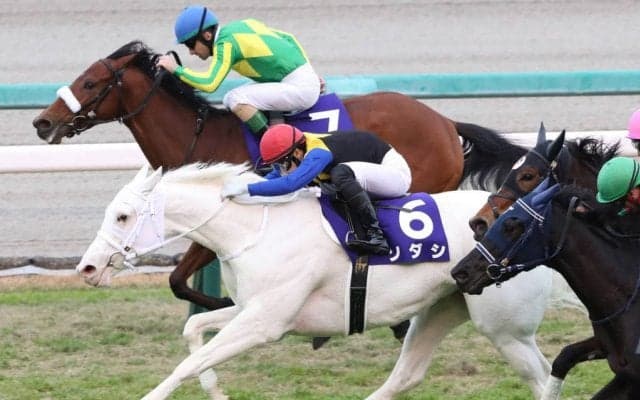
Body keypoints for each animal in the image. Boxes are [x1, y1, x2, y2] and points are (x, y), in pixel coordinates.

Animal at [32, 40, 528, 314]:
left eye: (91, 83)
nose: (42, 122)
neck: (201, 137)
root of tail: (445, 122)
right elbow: (178, 283)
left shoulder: (217, 221)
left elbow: (178, 280)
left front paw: (228, 306)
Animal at [76, 163, 555, 399]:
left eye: (122, 216)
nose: (87, 268)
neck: (255, 228)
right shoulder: (255, 309)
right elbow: (194, 329)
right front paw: (216, 392)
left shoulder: (265, 323)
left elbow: (187, 363)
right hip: (444, 306)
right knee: (405, 376)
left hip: (504, 328)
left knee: (542, 377)